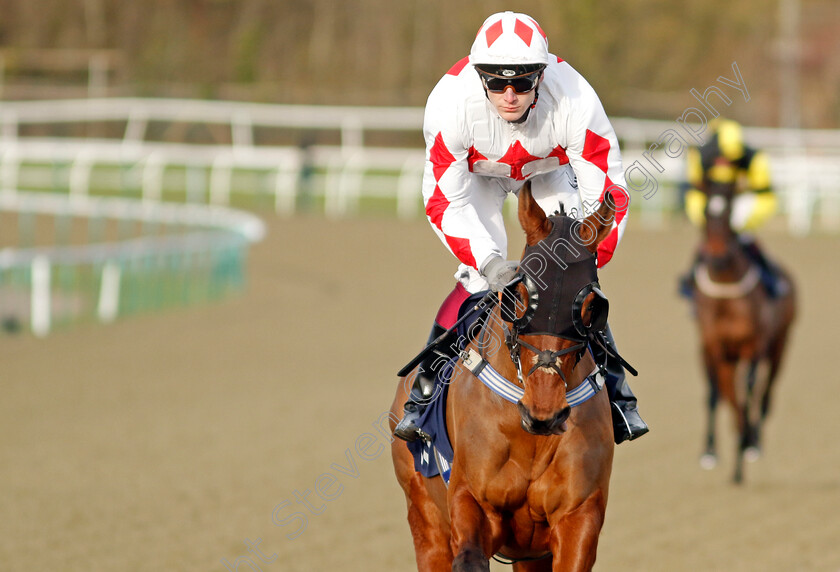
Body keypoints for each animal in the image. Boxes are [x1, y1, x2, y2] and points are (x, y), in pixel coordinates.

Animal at [390, 184, 620, 572]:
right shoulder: (471, 501)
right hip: (425, 518)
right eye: (519, 295)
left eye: (591, 305)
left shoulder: (578, 515)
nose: (545, 412)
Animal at [688, 180, 796, 482]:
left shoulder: (754, 346)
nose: (716, 256)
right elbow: (727, 396)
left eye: (729, 211)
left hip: (780, 345)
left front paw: (746, 445)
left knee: (765, 394)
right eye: (706, 211)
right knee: (721, 394)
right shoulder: (716, 347)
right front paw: (730, 453)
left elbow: (747, 394)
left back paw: (755, 441)